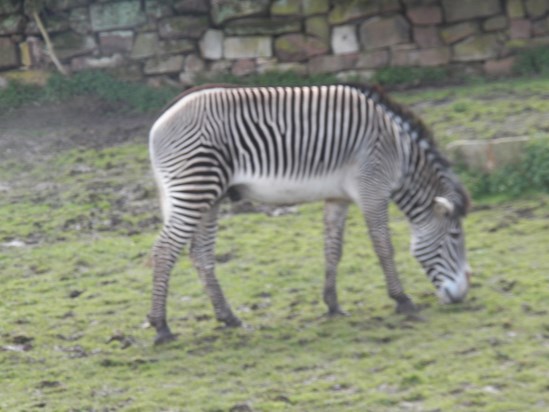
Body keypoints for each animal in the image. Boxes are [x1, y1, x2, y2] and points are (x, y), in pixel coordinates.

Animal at [147, 83, 470, 344]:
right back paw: (162, 327)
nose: (462, 296)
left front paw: (333, 305)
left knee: (200, 255)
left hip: (209, 197)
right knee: (164, 251)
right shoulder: (373, 191)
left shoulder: (338, 197)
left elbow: (333, 250)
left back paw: (229, 317)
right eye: (455, 235)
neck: (398, 152)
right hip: (194, 188)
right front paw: (402, 299)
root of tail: (160, 120)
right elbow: (383, 247)